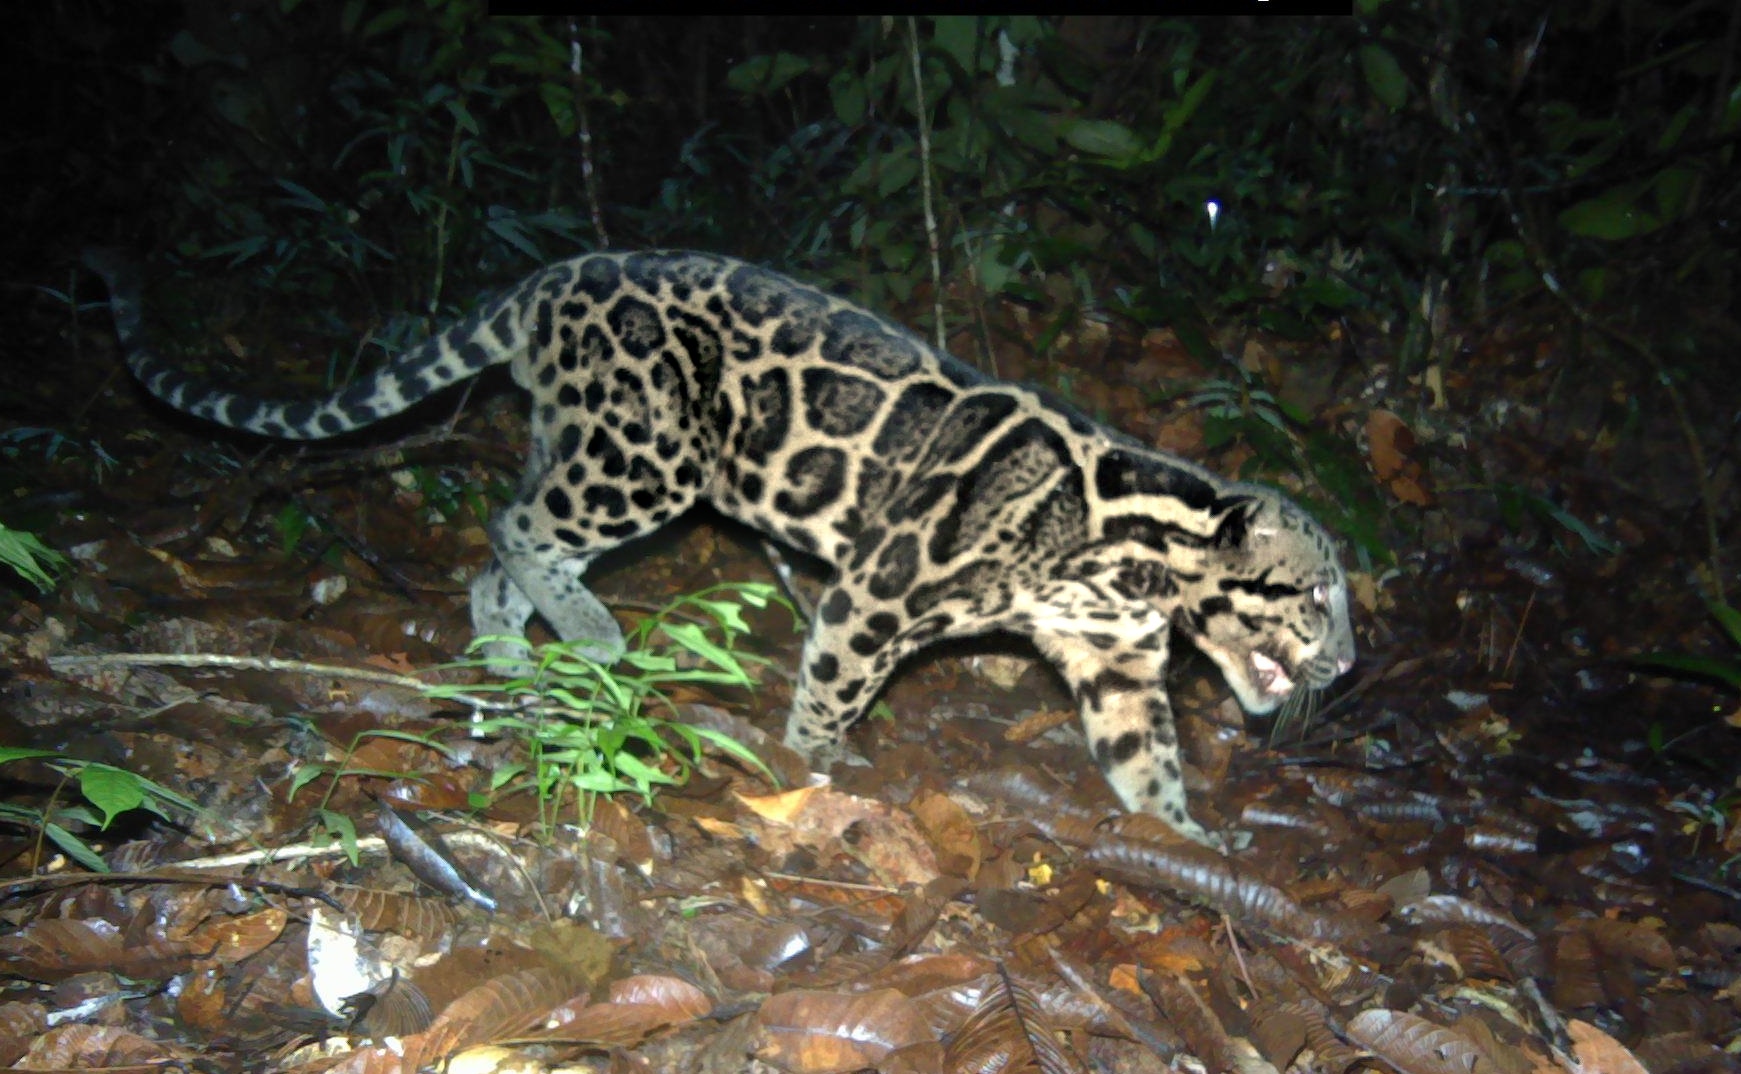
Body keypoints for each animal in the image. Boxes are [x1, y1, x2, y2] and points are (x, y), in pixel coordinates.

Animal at [85, 248, 1355, 848]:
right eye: (1318, 599)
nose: (1345, 668)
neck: (1137, 556)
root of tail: (550, 276)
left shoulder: (1118, 665)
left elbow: (1148, 759)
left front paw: (1182, 839)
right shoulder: (878, 587)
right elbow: (834, 685)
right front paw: (817, 764)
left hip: (582, 440)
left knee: (497, 552)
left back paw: (514, 657)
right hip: (646, 452)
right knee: (511, 525)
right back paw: (588, 634)